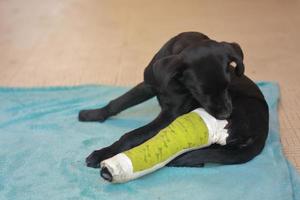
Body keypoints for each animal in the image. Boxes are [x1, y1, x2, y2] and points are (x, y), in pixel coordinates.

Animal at [78, 32, 268, 176]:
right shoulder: (147, 85)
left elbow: (131, 135)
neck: (176, 82)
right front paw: (92, 114)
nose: (226, 115)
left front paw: (102, 153)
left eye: (228, 85)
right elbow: (117, 103)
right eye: (201, 92)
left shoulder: (169, 116)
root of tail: (262, 133)